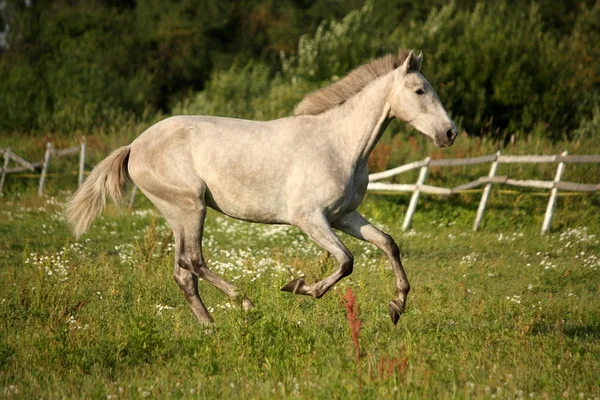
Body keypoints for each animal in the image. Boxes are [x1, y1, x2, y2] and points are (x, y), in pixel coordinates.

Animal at [68, 50, 458, 324]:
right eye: (419, 90)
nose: (450, 133)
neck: (338, 144)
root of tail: (135, 146)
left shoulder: (344, 216)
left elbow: (388, 244)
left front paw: (397, 306)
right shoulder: (310, 219)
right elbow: (347, 261)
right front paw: (300, 287)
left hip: (177, 214)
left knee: (183, 273)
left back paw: (211, 326)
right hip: (190, 207)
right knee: (193, 261)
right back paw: (245, 303)